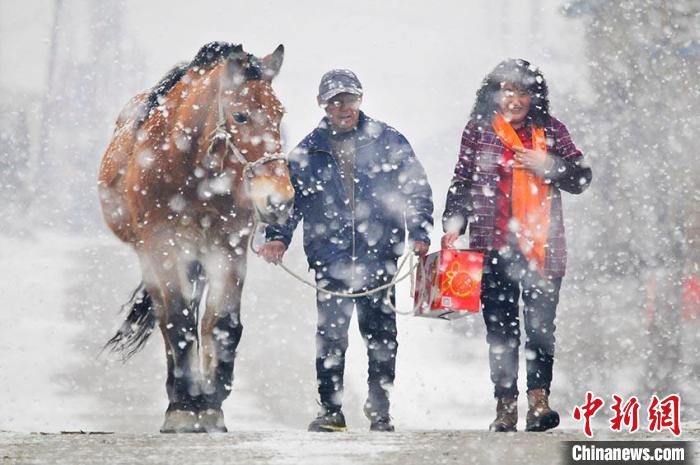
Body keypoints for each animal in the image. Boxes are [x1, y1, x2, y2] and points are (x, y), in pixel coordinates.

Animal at [99, 41, 296, 434]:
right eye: (241, 117)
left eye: (279, 114)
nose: (279, 200)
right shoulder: (163, 246)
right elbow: (178, 321)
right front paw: (185, 407)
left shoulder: (229, 247)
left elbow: (222, 324)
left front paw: (212, 403)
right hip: (153, 257)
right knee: (169, 316)